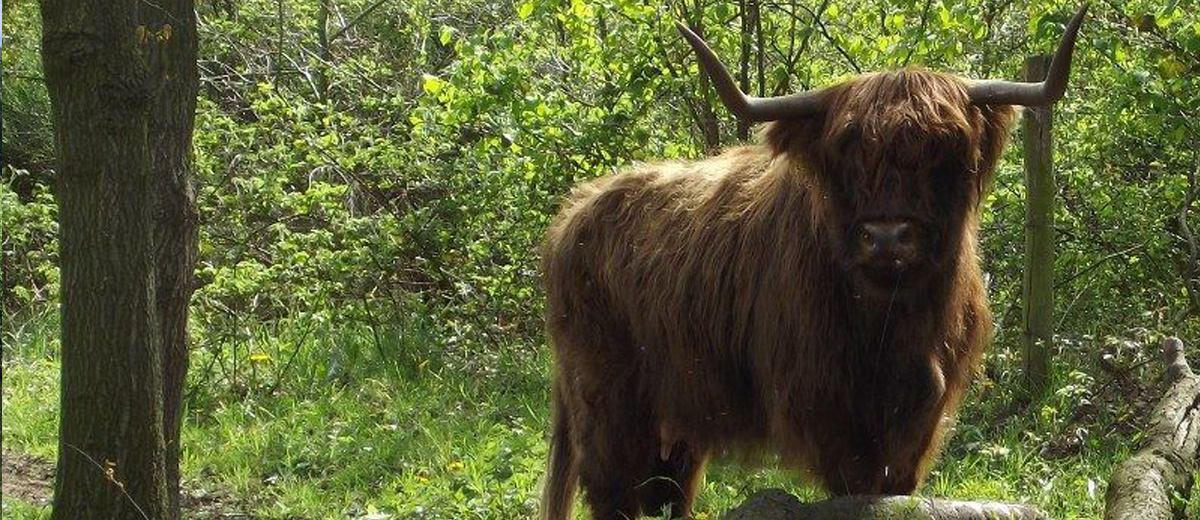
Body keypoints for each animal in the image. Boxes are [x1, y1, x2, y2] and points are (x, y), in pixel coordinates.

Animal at [540, 5, 1084, 518]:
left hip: (678, 415)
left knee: (669, 489)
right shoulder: (824, 405)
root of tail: (573, 213)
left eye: (943, 152)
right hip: (605, 402)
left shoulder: (922, 413)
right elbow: (856, 489)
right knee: (612, 490)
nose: (887, 237)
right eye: (846, 153)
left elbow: (896, 485)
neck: (890, 325)